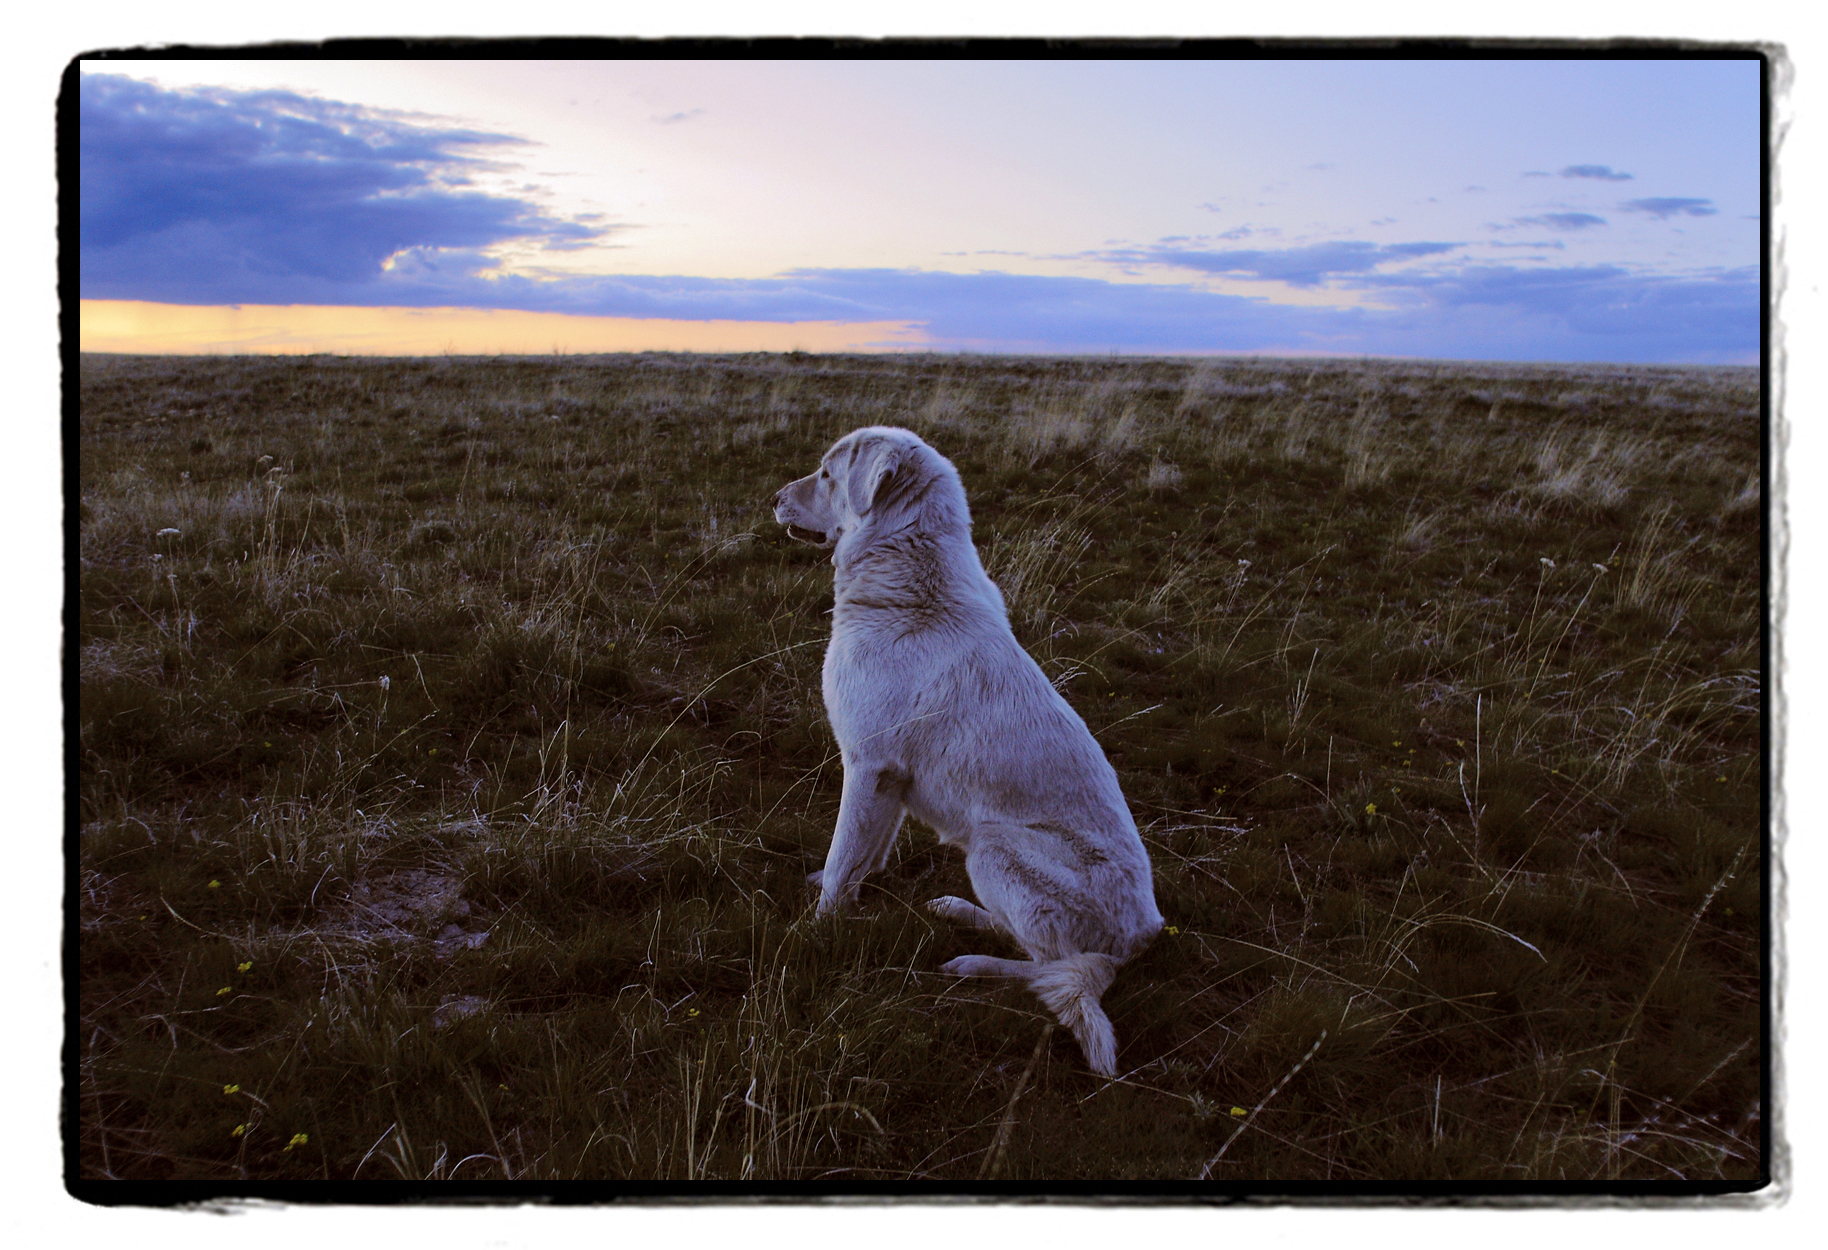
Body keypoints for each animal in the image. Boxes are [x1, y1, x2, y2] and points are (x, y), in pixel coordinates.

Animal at [767, 429, 1162, 1074]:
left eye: (826, 474)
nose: (774, 498)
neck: (903, 574)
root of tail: (1138, 941)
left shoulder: (867, 765)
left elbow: (844, 853)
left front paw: (817, 933)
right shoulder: (889, 779)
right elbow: (863, 855)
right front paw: (843, 893)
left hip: (995, 850)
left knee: (1051, 968)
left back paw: (974, 964)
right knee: (1025, 942)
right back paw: (957, 911)